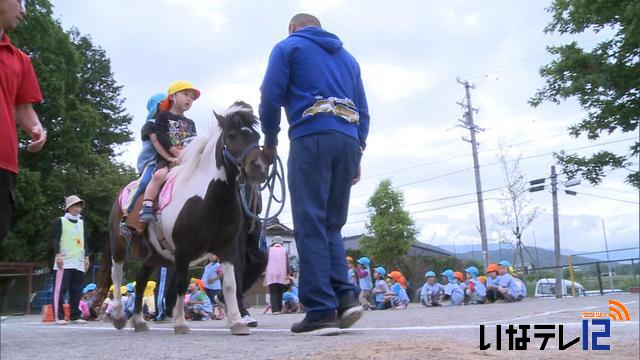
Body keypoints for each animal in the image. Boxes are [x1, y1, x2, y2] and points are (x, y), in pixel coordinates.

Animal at [99, 104, 268, 334]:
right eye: (232, 136)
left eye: (256, 136)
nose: (259, 167)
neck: (210, 199)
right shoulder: (182, 251)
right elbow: (180, 284)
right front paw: (180, 323)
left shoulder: (228, 248)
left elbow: (230, 284)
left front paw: (237, 322)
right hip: (118, 245)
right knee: (116, 276)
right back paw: (118, 317)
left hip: (153, 256)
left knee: (141, 281)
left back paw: (140, 321)